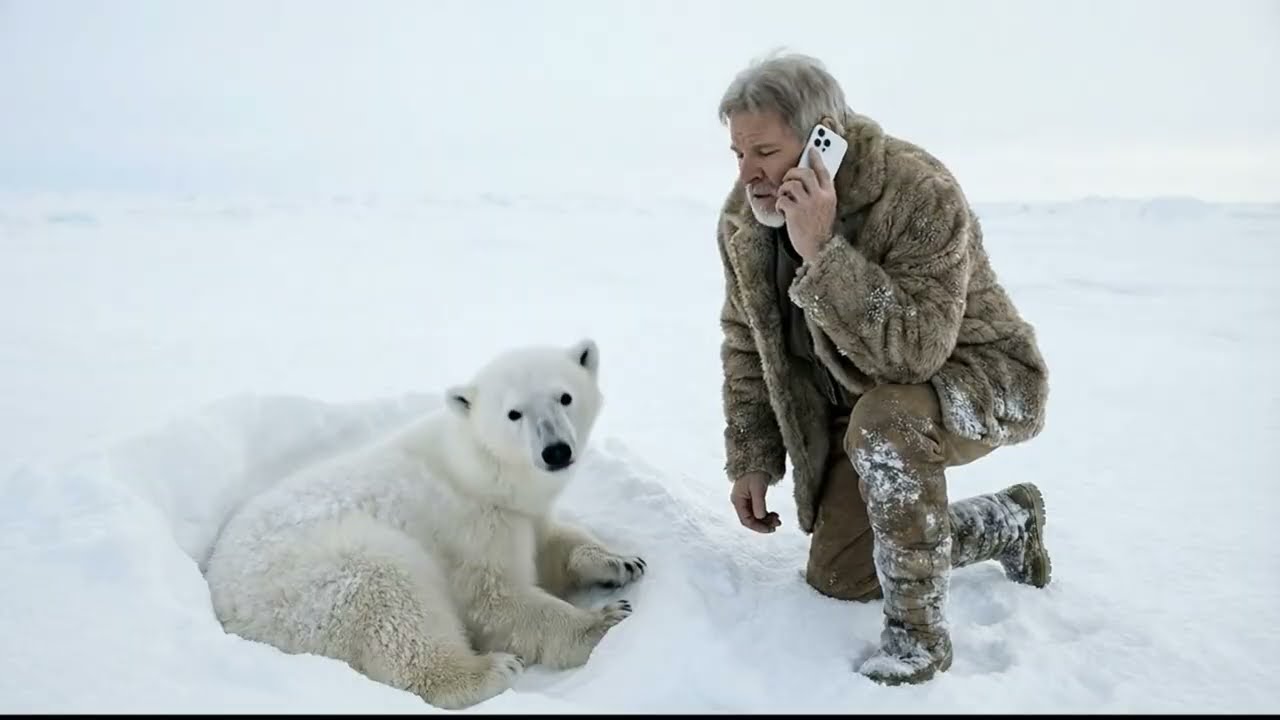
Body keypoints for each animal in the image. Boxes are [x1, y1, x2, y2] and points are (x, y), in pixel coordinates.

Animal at [202, 338, 645, 709]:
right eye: (513, 413)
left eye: (565, 396)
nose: (555, 451)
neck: (476, 470)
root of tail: (225, 604)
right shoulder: (469, 525)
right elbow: (495, 600)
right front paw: (605, 619)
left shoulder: (519, 514)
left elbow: (550, 541)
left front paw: (620, 562)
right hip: (314, 580)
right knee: (393, 601)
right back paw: (489, 670)